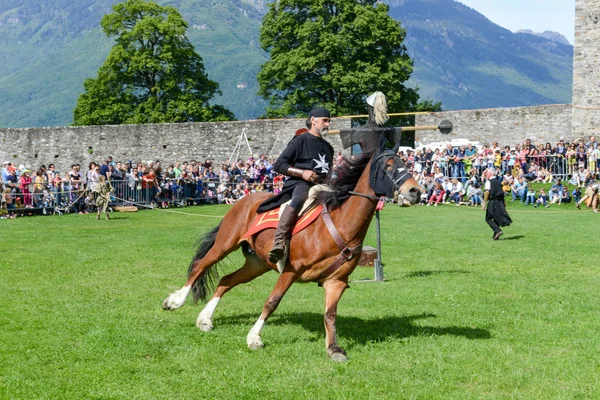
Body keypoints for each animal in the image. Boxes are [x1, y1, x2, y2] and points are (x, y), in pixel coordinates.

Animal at [163, 149, 422, 362]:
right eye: (389, 165)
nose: (415, 191)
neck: (340, 224)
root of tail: (244, 200)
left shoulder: (336, 281)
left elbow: (330, 315)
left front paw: (334, 349)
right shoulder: (290, 270)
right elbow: (272, 302)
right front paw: (254, 338)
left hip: (257, 264)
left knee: (226, 281)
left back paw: (205, 319)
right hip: (225, 245)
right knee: (200, 266)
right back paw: (175, 301)